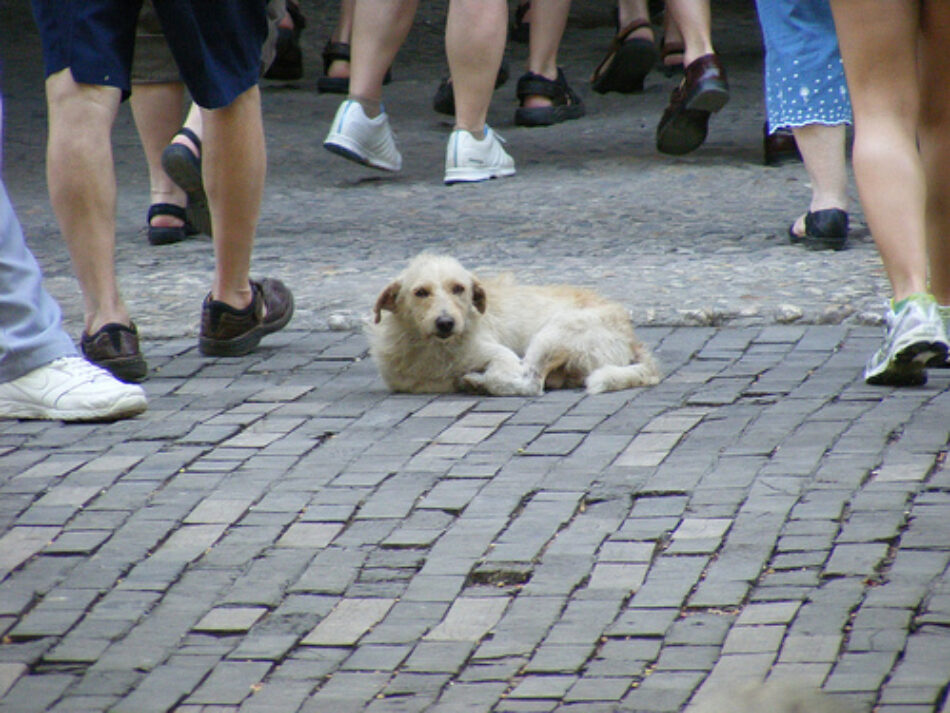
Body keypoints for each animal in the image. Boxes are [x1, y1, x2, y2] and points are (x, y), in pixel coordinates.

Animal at [366, 253, 660, 394]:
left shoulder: (501, 355)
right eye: (420, 292)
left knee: (531, 383)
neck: (435, 350)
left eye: (458, 288)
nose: (446, 323)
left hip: (550, 336)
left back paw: (479, 383)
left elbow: (502, 374)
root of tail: (631, 337)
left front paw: (479, 380)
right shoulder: (408, 383)